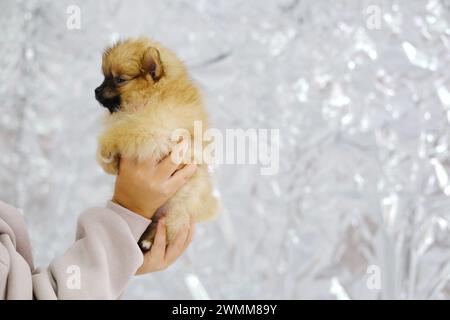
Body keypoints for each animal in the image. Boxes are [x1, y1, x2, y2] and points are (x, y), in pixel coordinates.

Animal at [96, 37, 219, 251]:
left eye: (119, 80)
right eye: (104, 77)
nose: (95, 91)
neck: (156, 95)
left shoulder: (153, 128)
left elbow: (119, 131)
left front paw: (106, 155)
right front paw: (112, 164)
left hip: (179, 208)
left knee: (169, 227)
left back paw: (148, 240)